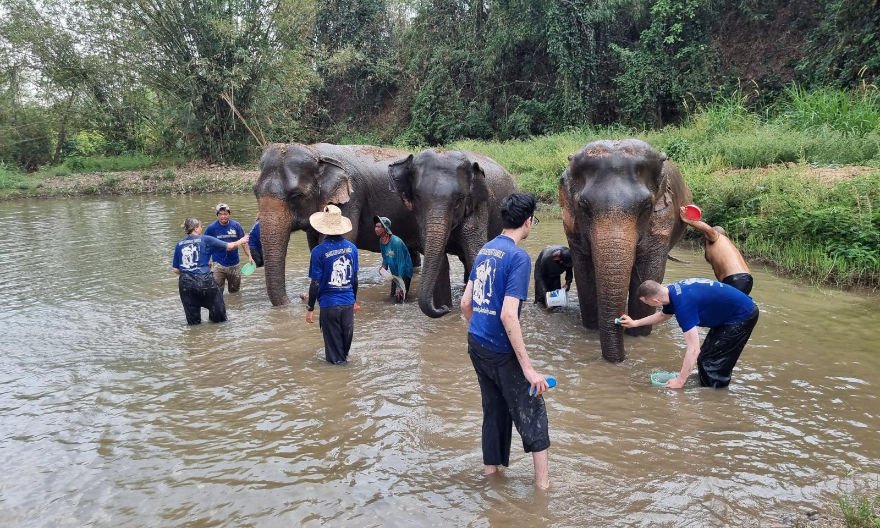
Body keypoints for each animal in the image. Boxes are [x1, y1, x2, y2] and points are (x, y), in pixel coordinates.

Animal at [254, 143, 421, 306]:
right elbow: (315, 246)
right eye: (255, 192)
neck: (315, 151)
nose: (295, 299)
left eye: (296, 195)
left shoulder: (349, 198)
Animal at [389, 149, 517, 318]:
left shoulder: (480, 205)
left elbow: (476, 252)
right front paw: (446, 308)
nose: (442, 309)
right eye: (418, 197)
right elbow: (441, 262)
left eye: (459, 199)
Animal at [559, 139, 692, 362]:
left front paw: (638, 335)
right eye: (583, 205)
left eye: (646, 206)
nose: (620, 360)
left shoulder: (662, 220)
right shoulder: (572, 226)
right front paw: (592, 330)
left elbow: (648, 273)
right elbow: (584, 274)